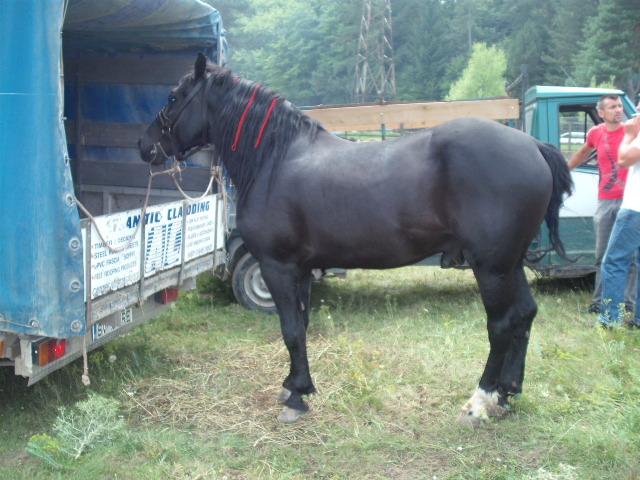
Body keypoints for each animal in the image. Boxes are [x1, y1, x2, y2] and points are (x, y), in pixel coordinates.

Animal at [139, 53, 568, 428]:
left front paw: (297, 398)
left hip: (491, 266)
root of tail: (533, 146)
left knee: (501, 324)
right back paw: (507, 394)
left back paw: (479, 402)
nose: (145, 146)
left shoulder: (277, 266)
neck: (274, 160)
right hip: (510, 263)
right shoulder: (301, 269)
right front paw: (293, 386)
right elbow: (301, 325)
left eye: (174, 97)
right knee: (525, 315)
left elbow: (289, 329)